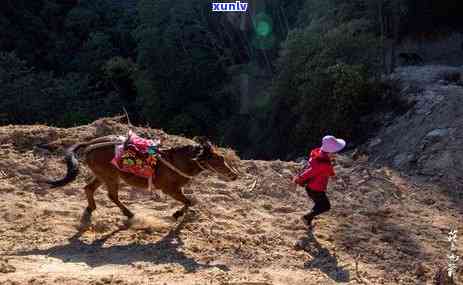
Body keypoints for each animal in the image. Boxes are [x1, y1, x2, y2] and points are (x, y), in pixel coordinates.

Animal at [45, 134, 239, 225]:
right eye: (219, 159)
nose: (234, 175)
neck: (179, 160)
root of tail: (91, 144)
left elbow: (189, 201)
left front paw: (179, 214)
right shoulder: (170, 189)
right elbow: (188, 201)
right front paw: (176, 214)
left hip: (102, 175)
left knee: (89, 188)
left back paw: (91, 209)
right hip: (110, 176)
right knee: (111, 196)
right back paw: (129, 213)